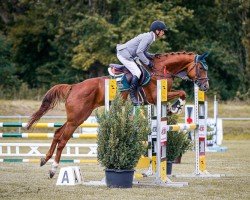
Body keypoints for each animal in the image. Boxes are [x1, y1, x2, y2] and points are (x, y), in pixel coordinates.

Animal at [25, 50, 209, 177]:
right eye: (201, 68)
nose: (205, 86)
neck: (160, 70)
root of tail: (74, 87)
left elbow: (181, 94)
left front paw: (173, 108)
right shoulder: (155, 96)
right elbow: (181, 93)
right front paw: (175, 107)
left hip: (76, 118)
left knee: (57, 133)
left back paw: (44, 160)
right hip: (77, 118)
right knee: (63, 139)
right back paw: (53, 169)